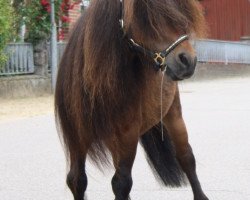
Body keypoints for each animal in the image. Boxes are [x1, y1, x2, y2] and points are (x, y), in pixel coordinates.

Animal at [55, 0, 209, 200]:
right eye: (148, 16)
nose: (188, 60)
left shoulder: (127, 135)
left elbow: (121, 183)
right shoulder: (77, 139)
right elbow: (77, 180)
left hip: (173, 116)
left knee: (186, 158)